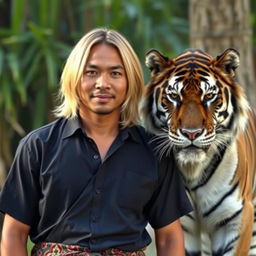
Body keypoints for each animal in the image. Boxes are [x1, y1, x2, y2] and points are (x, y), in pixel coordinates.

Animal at [141, 48, 256, 256]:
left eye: (209, 96)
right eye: (174, 96)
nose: (191, 133)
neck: (192, 170)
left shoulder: (236, 217)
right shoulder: (180, 223)